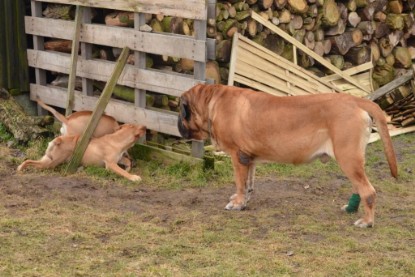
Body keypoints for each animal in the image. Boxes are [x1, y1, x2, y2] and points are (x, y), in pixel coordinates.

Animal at [17, 123, 148, 181]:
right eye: (134, 126)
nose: (145, 127)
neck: (117, 140)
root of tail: (58, 140)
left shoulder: (119, 158)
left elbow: (127, 162)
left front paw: (129, 168)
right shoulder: (111, 164)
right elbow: (122, 171)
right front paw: (133, 177)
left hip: (48, 160)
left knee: (30, 161)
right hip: (51, 162)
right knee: (31, 162)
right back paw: (21, 168)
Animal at [177, 83, 398, 226]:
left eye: (181, 111)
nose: (177, 124)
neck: (212, 101)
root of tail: (355, 100)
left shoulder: (237, 155)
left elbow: (240, 182)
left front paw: (238, 203)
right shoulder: (248, 158)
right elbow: (248, 182)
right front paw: (245, 198)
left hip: (347, 157)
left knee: (368, 191)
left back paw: (366, 221)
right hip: (353, 159)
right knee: (359, 187)